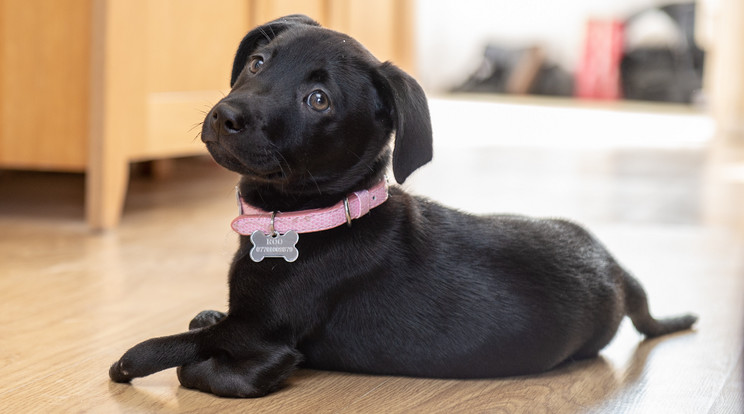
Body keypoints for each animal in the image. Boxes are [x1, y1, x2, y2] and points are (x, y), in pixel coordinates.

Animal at [110, 15, 696, 398]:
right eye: (257, 63)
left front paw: (134, 363)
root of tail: (617, 270)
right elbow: (203, 324)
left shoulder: (263, 338)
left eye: (318, 100)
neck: (317, 217)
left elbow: (182, 354)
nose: (226, 115)